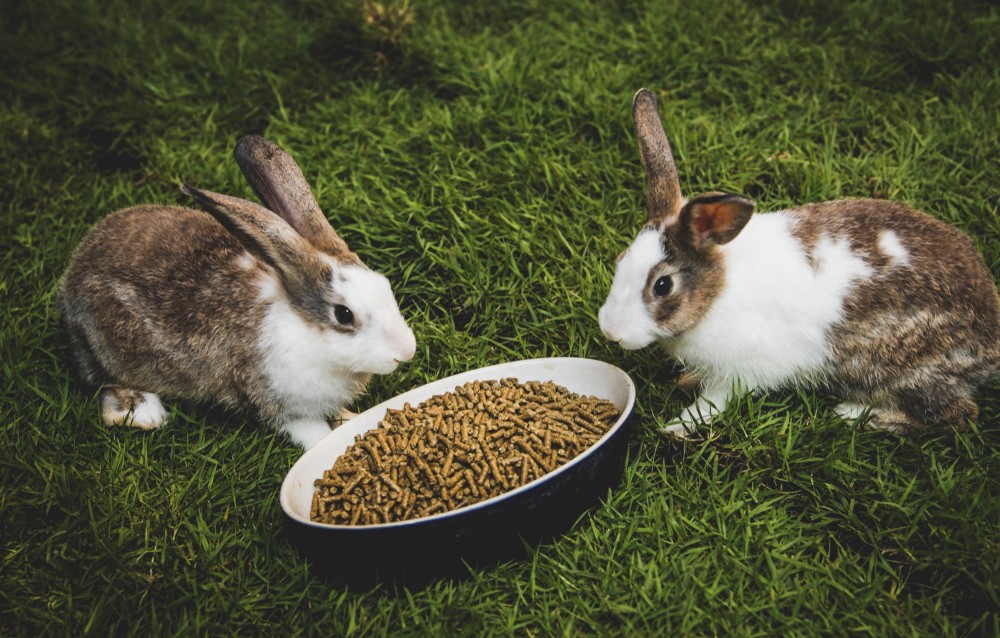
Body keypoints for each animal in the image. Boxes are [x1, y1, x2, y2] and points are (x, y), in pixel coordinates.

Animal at [58, 135, 417, 449]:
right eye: (344, 314)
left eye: (385, 286)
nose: (406, 351)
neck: (306, 331)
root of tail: (75, 269)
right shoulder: (278, 403)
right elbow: (312, 434)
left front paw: (350, 418)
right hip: (110, 349)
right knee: (104, 383)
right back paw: (143, 412)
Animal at [599, 88, 1000, 438]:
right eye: (620, 261)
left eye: (662, 286)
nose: (610, 332)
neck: (716, 292)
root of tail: (991, 339)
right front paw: (686, 381)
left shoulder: (738, 371)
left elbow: (714, 402)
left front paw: (678, 426)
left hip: (907, 372)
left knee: (958, 414)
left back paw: (858, 415)